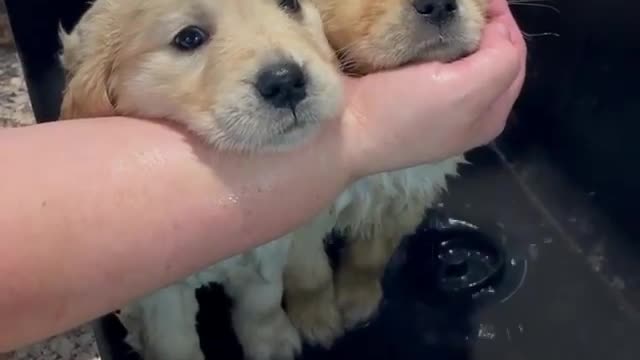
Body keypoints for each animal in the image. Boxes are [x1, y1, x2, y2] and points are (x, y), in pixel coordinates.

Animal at [58, 0, 344, 360]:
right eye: (189, 37)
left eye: (291, 4)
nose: (285, 81)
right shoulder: (162, 297)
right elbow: (174, 342)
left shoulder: (268, 251)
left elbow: (261, 305)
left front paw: (272, 343)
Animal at [282, 0, 488, 348]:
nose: (438, 4)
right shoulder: (296, 224)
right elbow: (309, 274)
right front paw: (315, 319)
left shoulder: (406, 197)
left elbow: (369, 259)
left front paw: (358, 301)